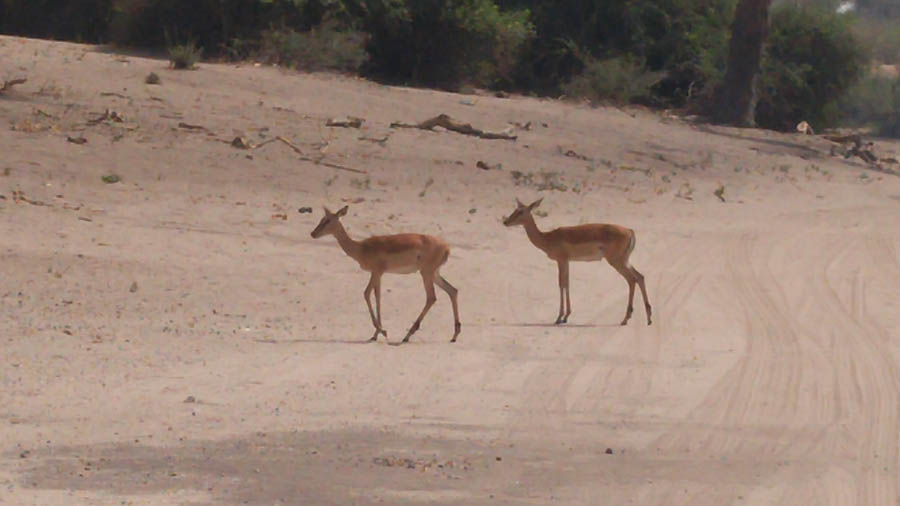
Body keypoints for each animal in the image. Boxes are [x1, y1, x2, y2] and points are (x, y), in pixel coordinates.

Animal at [312, 206, 464, 344]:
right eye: (321, 219)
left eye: (328, 220)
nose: (313, 234)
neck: (361, 248)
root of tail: (446, 247)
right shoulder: (378, 274)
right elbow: (378, 297)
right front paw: (376, 334)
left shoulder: (376, 272)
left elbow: (366, 294)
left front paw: (382, 331)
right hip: (434, 274)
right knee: (452, 290)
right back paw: (454, 336)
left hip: (426, 273)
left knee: (431, 297)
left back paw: (407, 336)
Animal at [502, 198, 652, 324]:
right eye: (515, 209)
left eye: (521, 211)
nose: (505, 222)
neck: (547, 238)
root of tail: (630, 231)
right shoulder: (567, 261)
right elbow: (567, 283)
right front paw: (566, 316)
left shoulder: (561, 260)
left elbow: (561, 284)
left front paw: (560, 317)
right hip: (625, 260)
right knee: (639, 277)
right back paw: (648, 318)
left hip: (617, 261)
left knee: (632, 280)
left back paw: (626, 319)